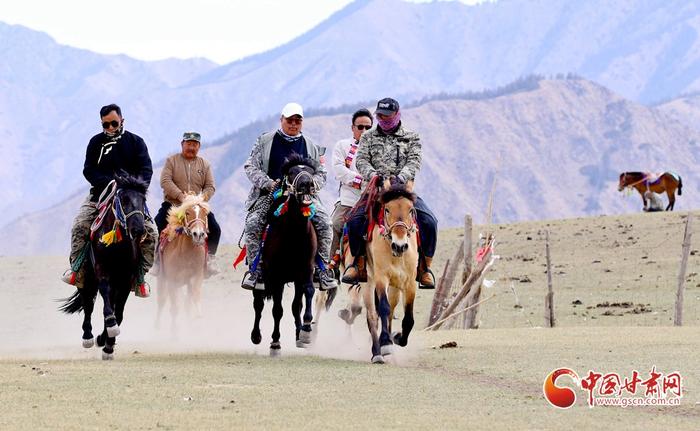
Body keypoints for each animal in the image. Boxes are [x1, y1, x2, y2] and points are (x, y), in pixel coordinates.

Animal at [60, 176, 149, 362]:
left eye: (143, 200)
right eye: (124, 199)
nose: (138, 229)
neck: (118, 246)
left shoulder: (125, 280)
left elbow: (119, 312)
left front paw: (108, 344)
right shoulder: (102, 272)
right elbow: (106, 306)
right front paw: (110, 327)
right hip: (86, 277)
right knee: (88, 304)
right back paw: (88, 337)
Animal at [158, 194, 211, 330]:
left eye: (205, 213)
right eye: (187, 213)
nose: (198, 234)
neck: (186, 254)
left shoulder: (196, 277)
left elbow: (192, 301)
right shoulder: (171, 280)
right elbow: (174, 308)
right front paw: (174, 332)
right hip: (162, 279)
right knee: (161, 300)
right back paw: (157, 326)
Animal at [250, 154, 318, 356]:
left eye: (311, 172)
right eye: (292, 172)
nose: (307, 184)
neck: (294, 236)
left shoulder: (305, 271)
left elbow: (305, 297)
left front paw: (305, 331)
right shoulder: (277, 276)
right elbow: (277, 310)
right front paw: (275, 343)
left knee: (295, 305)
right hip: (261, 278)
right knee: (258, 305)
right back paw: (256, 336)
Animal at [360, 179, 416, 364]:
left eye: (410, 209)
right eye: (387, 209)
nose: (400, 246)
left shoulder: (410, 282)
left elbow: (409, 318)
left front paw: (398, 338)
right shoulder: (381, 278)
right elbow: (383, 309)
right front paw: (385, 343)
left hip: (395, 287)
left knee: (390, 311)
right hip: (367, 283)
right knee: (372, 316)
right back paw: (377, 352)